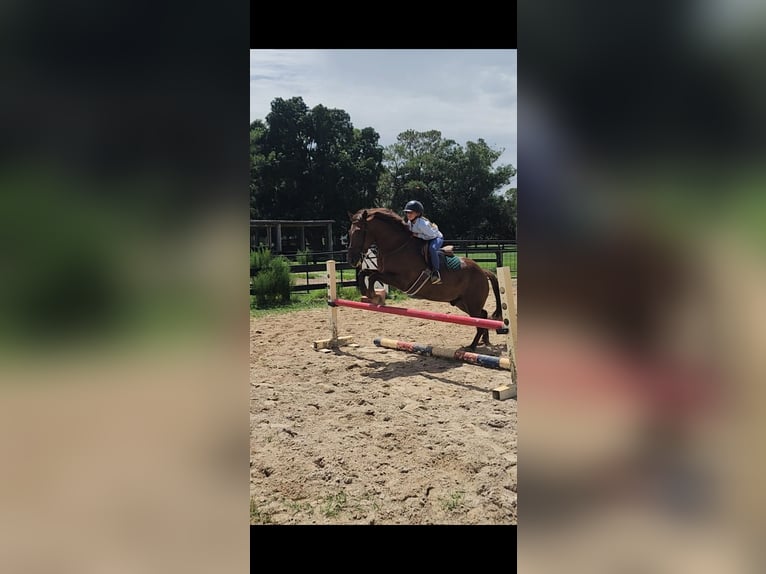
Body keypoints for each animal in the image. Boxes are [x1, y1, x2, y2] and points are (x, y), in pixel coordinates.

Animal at [346, 208, 503, 351]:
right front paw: (365, 291)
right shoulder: (384, 273)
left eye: (359, 231)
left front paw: (372, 295)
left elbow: (373, 276)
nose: (352, 260)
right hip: (461, 302)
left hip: (472, 303)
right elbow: (365, 273)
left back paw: (472, 346)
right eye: (349, 232)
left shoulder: (401, 280)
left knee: (480, 318)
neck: (396, 247)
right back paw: (484, 341)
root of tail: (482, 271)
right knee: (483, 315)